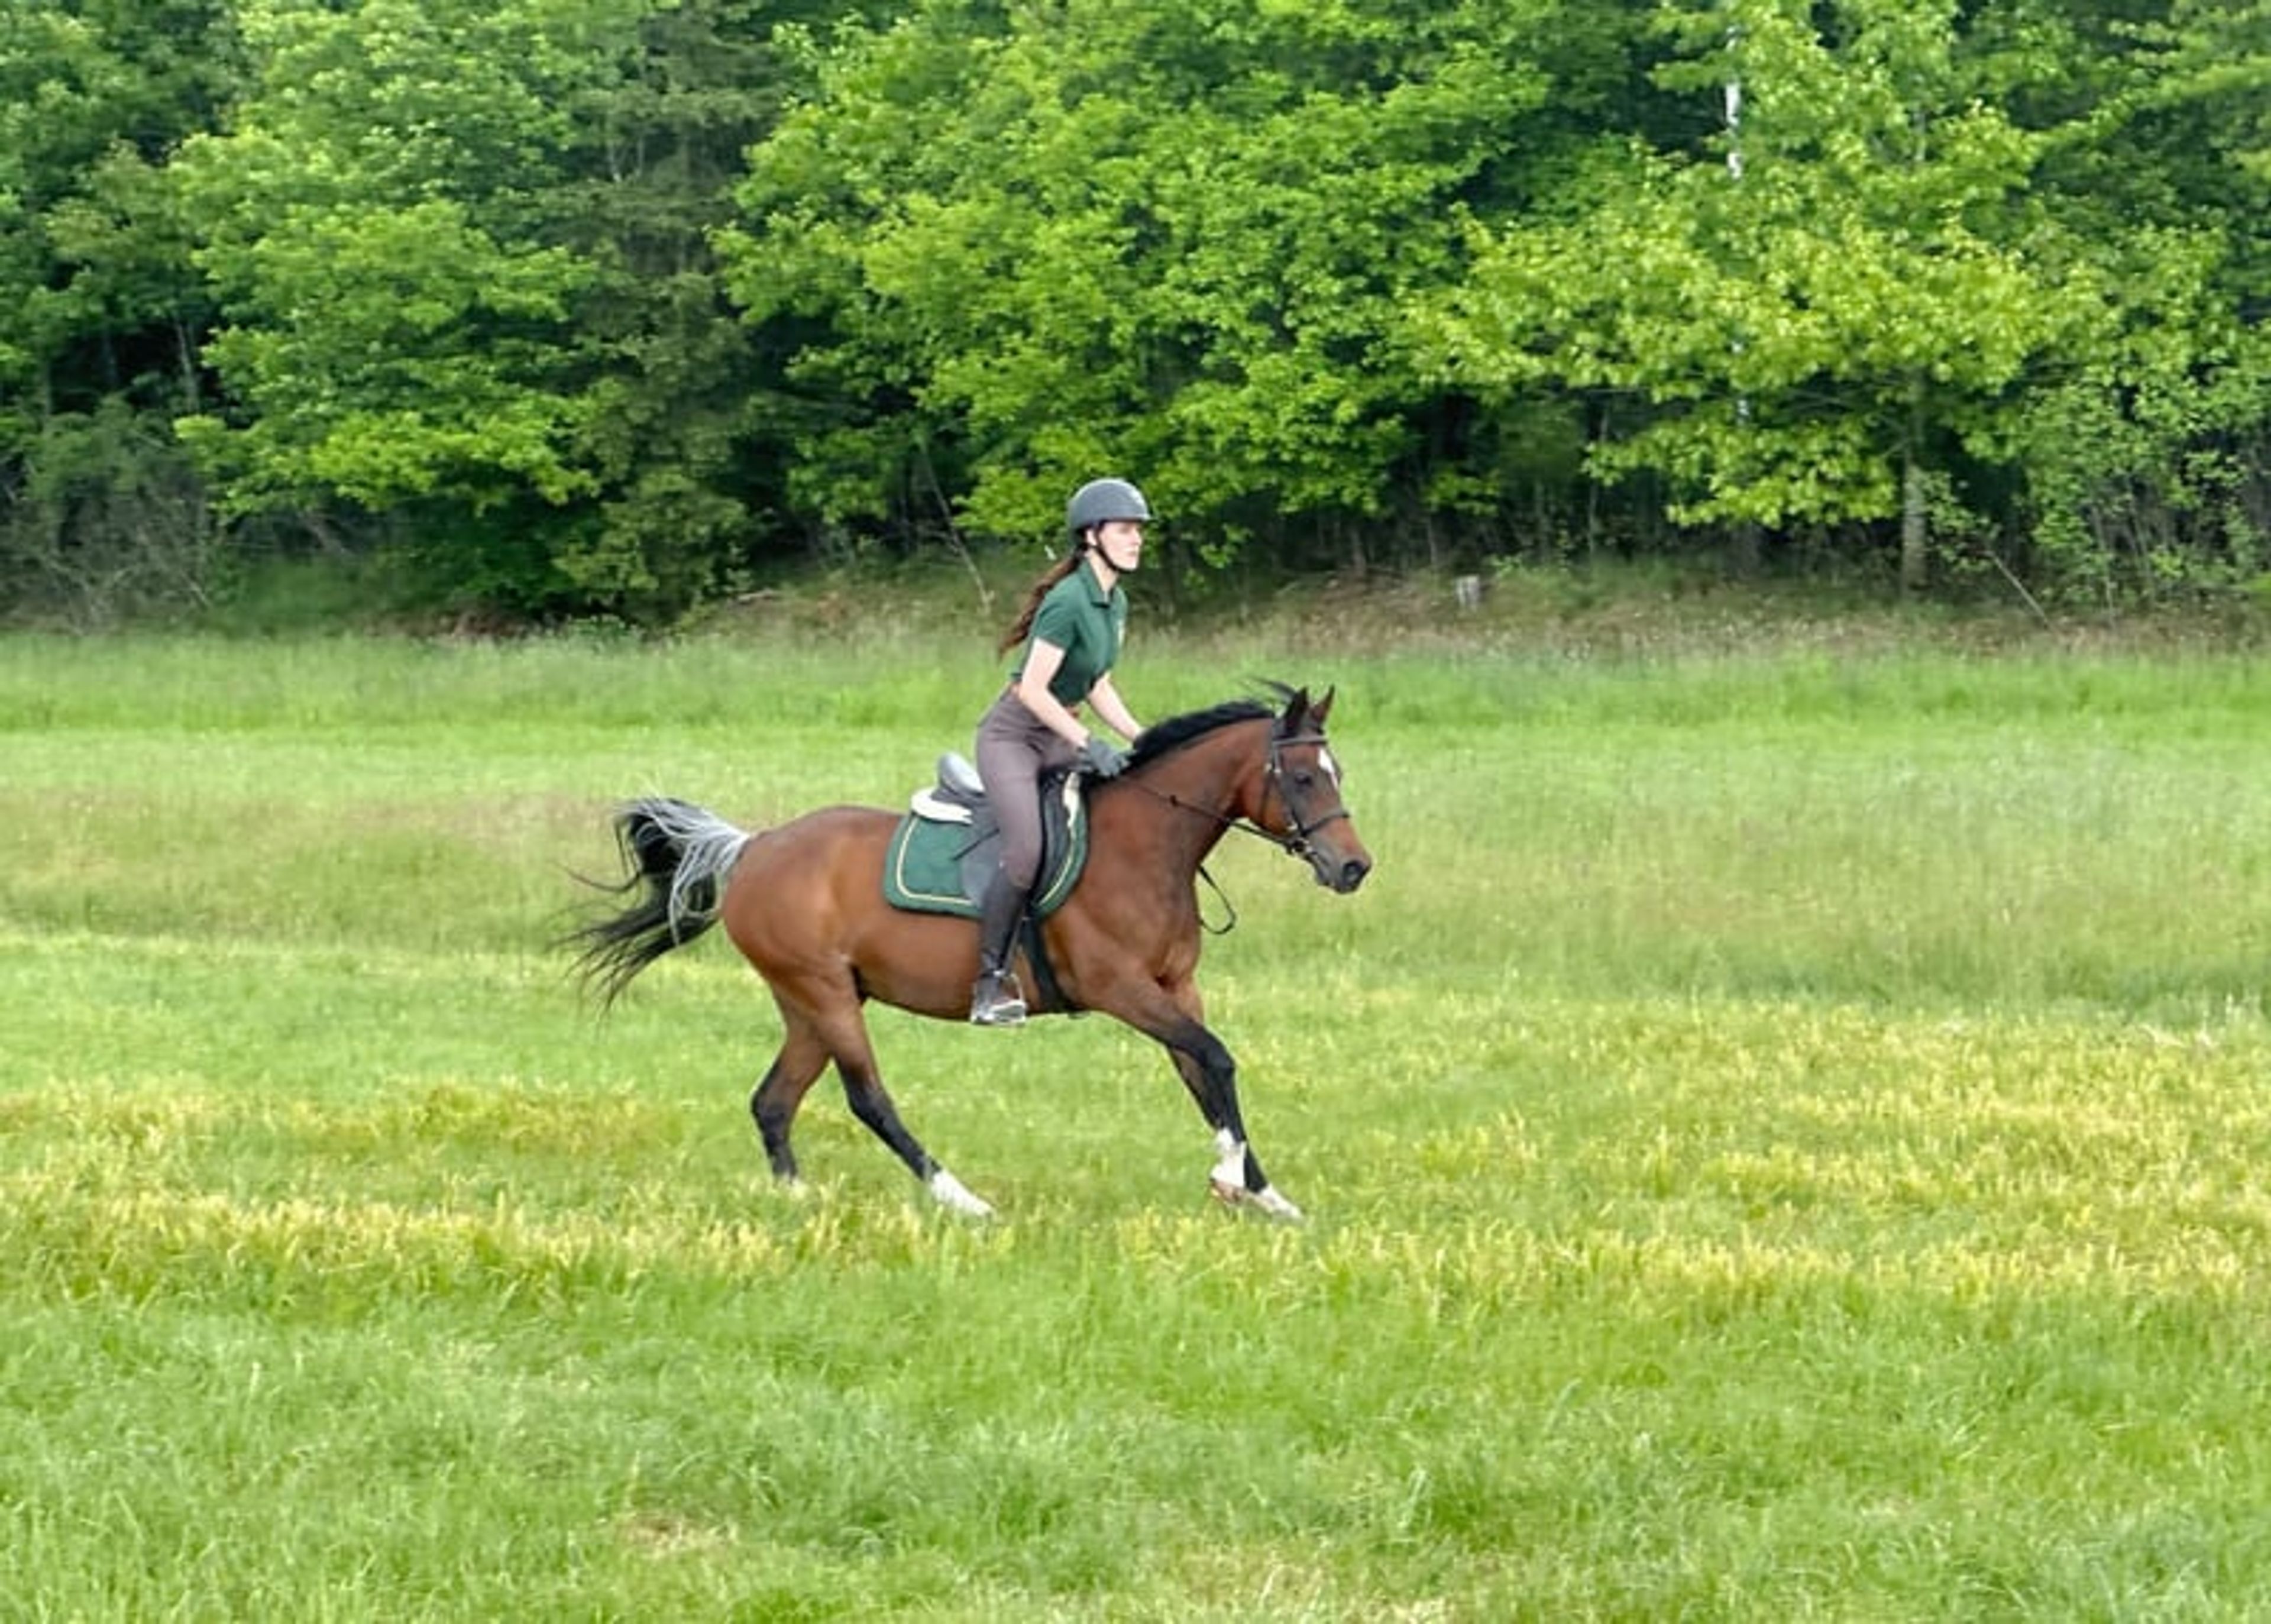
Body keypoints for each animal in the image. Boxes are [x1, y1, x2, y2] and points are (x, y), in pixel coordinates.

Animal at [565, 683, 1372, 1220]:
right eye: (1304, 777)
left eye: (1337, 774)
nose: (1354, 868)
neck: (1146, 845)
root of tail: (753, 846)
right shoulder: (1121, 988)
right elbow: (1215, 1058)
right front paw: (1234, 1177)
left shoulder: (1175, 988)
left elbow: (1204, 1072)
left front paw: (1264, 1192)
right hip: (822, 993)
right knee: (868, 1098)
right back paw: (963, 1199)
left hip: (811, 1003)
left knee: (773, 1100)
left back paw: (797, 1196)